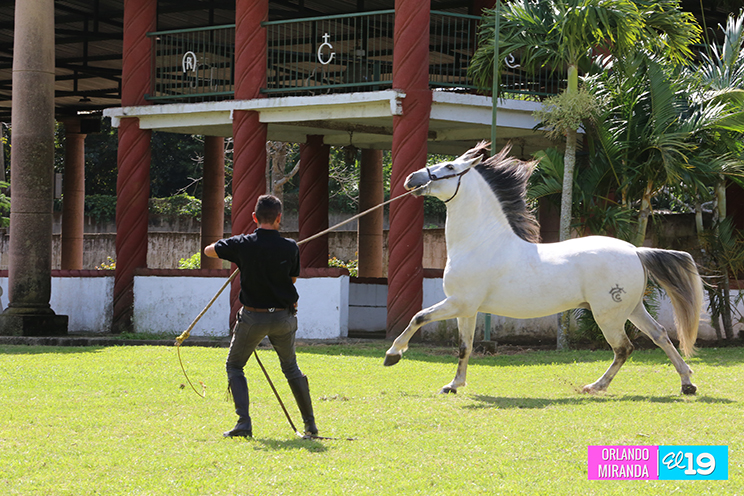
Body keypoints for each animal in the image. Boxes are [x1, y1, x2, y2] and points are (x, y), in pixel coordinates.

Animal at [384, 142, 704, 396]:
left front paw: (392, 354)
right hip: (632, 308)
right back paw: (687, 383)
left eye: (449, 165)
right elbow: (465, 347)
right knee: (660, 335)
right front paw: (453, 385)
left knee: (624, 348)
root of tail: (636, 251)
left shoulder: (458, 303)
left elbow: (418, 317)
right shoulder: (468, 310)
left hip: (609, 315)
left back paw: (595, 387)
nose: (411, 178)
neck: (479, 242)